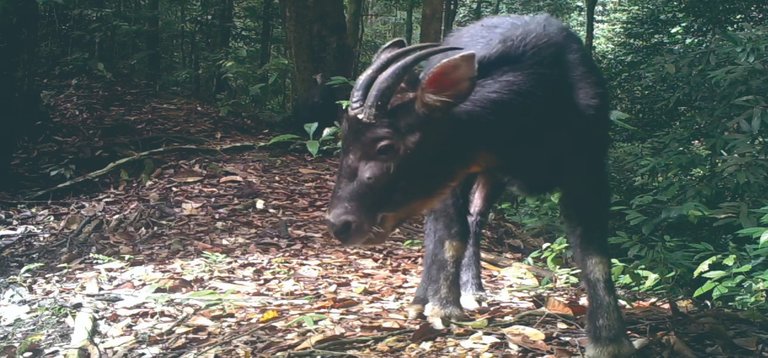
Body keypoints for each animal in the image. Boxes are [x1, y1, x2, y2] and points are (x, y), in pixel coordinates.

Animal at [328, 14, 632, 358]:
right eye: (345, 139)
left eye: (385, 147)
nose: (340, 224)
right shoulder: (454, 173)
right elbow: (451, 235)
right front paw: (444, 306)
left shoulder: (588, 169)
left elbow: (595, 255)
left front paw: (610, 339)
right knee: (440, 227)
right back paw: (424, 298)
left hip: (490, 177)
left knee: (476, 216)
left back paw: (472, 290)